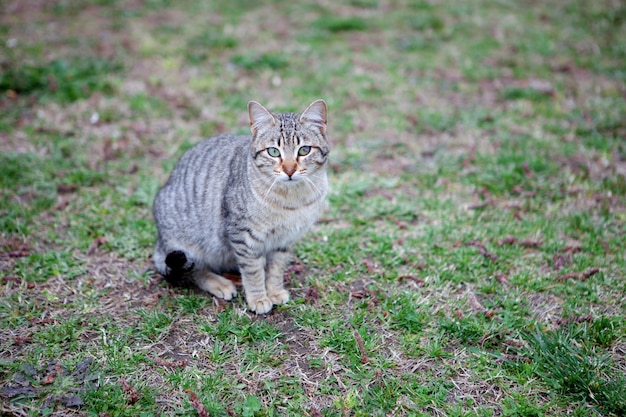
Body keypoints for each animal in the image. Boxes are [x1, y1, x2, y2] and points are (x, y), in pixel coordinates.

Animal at [153, 99, 330, 312]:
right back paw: (220, 283)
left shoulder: (284, 240)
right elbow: (253, 272)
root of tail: (160, 242)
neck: (291, 200)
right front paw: (258, 298)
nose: (289, 170)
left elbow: (276, 269)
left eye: (304, 150)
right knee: (193, 269)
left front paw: (274, 291)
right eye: (273, 152)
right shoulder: (244, 237)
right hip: (188, 245)